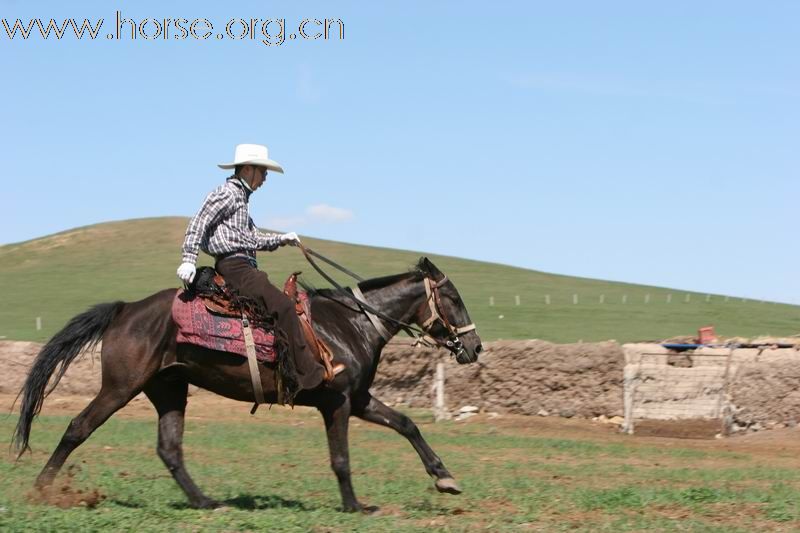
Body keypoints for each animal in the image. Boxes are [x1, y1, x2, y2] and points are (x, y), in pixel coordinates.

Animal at [14, 258, 482, 512]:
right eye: (454, 298)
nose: (475, 347)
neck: (350, 323)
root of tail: (126, 308)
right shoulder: (337, 402)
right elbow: (341, 459)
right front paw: (355, 506)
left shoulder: (360, 398)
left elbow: (406, 424)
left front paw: (445, 478)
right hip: (120, 387)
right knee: (78, 427)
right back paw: (40, 490)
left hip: (169, 389)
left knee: (170, 449)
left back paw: (205, 502)